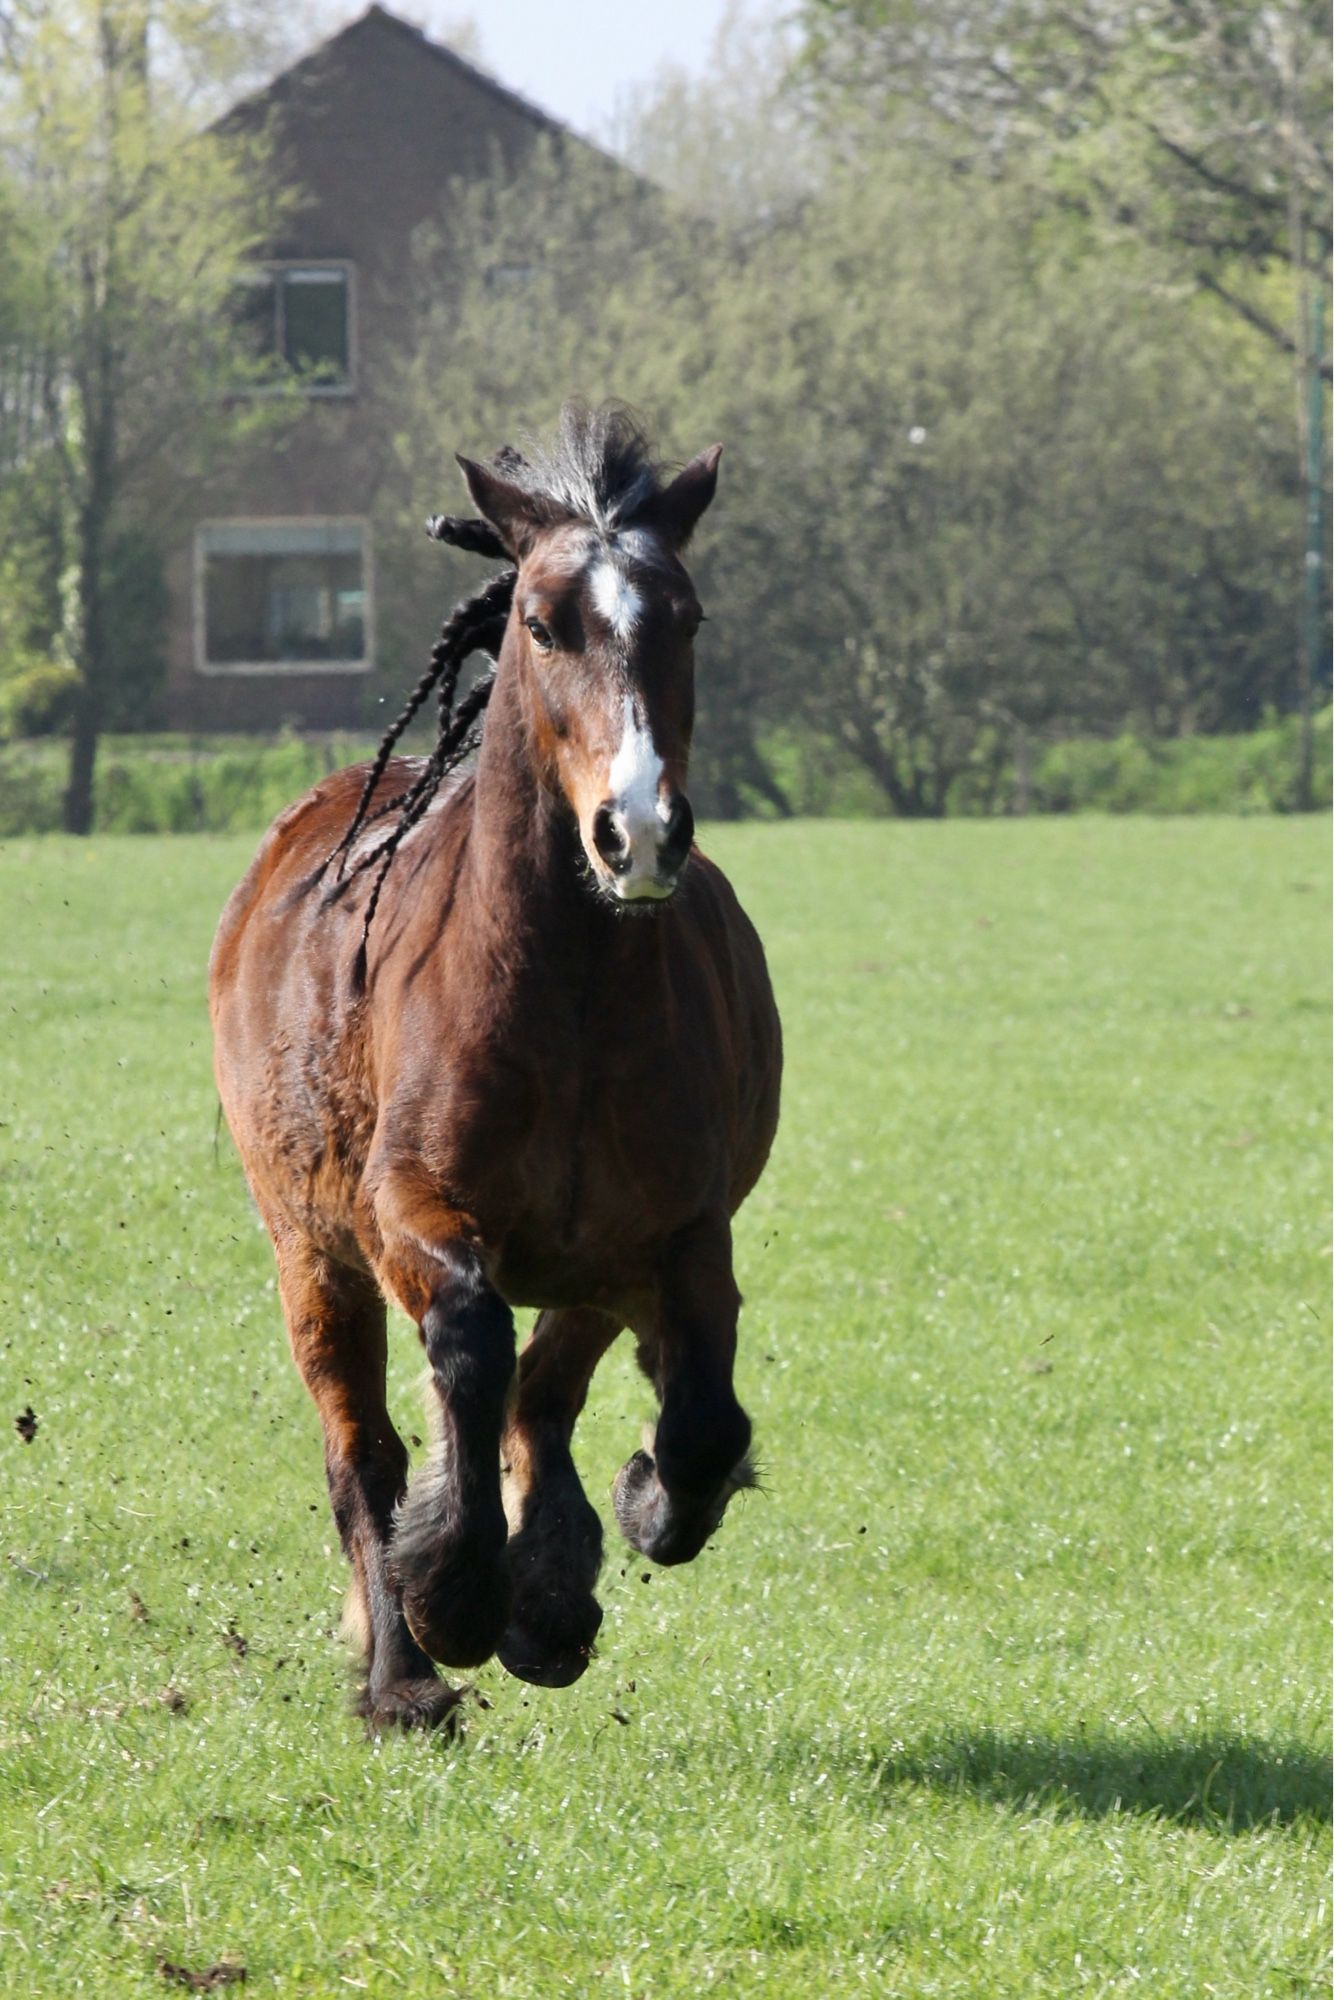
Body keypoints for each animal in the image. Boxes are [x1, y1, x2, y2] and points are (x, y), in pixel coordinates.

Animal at [209, 410, 784, 1736]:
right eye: (539, 619)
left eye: (685, 617)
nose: (638, 830)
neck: (568, 995)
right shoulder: (405, 1212)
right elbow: (467, 1348)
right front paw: (453, 1593)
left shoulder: (676, 1233)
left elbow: (693, 1416)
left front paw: (625, 1515)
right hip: (308, 1252)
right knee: (365, 1447)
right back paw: (404, 1675)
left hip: (584, 1267)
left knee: (544, 1392)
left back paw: (552, 1592)